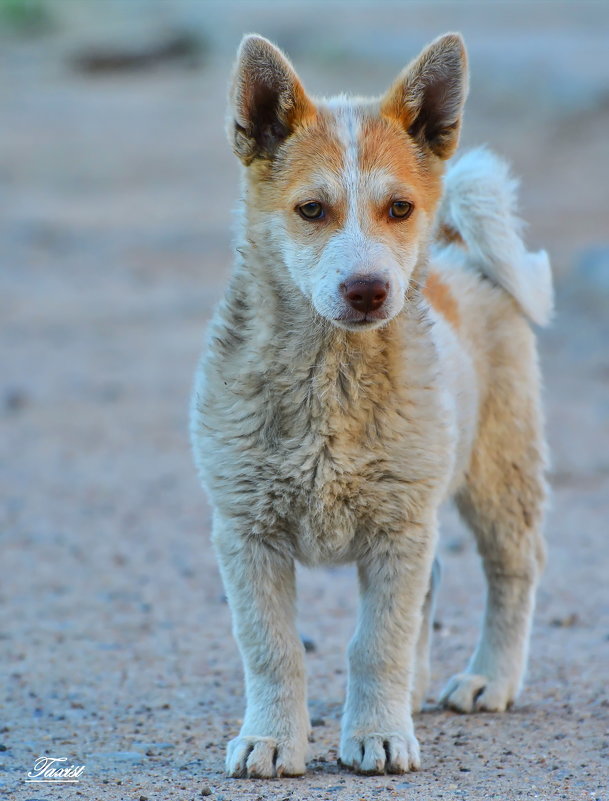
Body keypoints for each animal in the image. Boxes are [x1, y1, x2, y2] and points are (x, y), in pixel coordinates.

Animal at [190, 31, 552, 776]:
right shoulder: (245, 531)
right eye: (310, 209)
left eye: (399, 209)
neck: (332, 382)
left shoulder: (395, 527)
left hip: (498, 471)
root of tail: (457, 252)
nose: (367, 290)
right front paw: (272, 738)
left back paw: (488, 678)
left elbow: (375, 641)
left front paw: (378, 734)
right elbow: (271, 647)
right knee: (433, 581)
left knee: (512, 570)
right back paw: (413, 692)